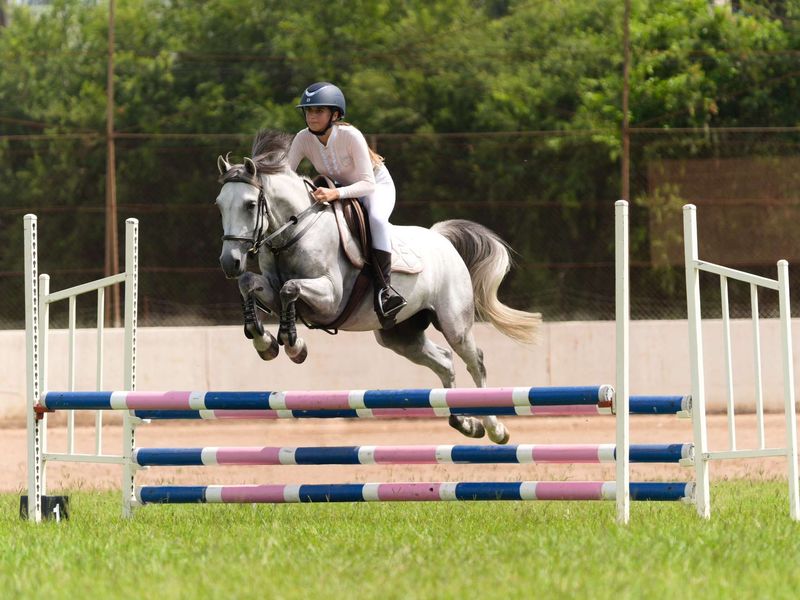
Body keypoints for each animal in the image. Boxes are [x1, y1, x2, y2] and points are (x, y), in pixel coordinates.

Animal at [215, 130, 541, 444]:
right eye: (219, 205)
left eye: (250, 205)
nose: (230, 262)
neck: (294, 232)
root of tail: (441, 238)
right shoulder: (270, 287)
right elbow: (250, 284)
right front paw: (265, 342)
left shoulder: (331, 298)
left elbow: (290, 289)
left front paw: (294, 345)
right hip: (400, 335)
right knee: (445, 362)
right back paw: (465, 423)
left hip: (454, 323)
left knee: (476, 362)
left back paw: (495, 428)